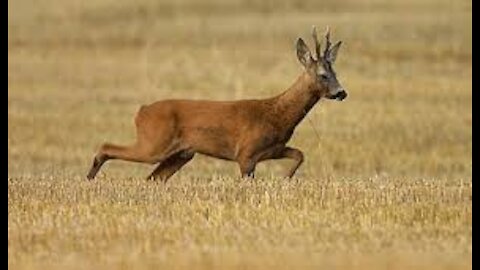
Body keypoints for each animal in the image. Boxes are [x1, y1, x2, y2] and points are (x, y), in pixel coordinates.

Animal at [87, 26, 348, 181]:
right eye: (323, 75)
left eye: (335, 73)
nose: (341, 92)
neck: (277, 113)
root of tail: (141, 112)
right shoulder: (246, 153)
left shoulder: (272, 149)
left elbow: (300, 154)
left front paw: (287, 177)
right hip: (154, 143)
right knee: (107, 146)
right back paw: (90, 176)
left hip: (181, 154)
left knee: (152, 178)